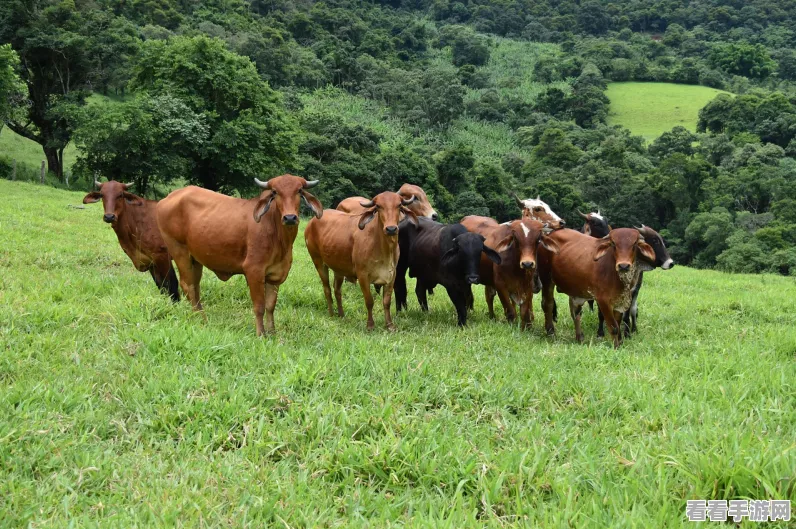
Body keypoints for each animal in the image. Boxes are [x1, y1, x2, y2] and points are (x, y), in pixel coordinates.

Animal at [156, 176, 324, 334]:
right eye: (275, 192)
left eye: (299, 191)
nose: (290, 218)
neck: (280, 239)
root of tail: (168, 198)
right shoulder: (254, 271)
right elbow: (259, 306)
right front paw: (261, 333)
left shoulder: (275, 275)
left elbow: (270, 306)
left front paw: (272, 333)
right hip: (180, 251)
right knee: (188, 285)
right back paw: (201, 319)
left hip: (195, 259)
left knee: (195, 287)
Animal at [304, 190, 416, 330]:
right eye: (378, 206)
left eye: (399, 205)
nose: (391, 229)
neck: (384, 249)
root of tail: (312, 221)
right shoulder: (363, 275)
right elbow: (369, 301)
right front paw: (370, 325)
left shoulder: (391, 275)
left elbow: (386, 302)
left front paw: (390, 325)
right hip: (318, 262)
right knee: (327, 289)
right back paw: (331, 314)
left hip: (339, 269)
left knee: (337, 290)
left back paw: (341, 314)